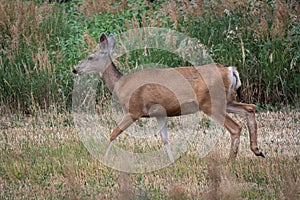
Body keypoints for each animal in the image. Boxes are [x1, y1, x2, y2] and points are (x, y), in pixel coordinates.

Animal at [72, 32, 264, 161]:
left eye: (90, 57)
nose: (75, 69)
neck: (120, 85)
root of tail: (230, 70)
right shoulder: (159, 113)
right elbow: (165, 139)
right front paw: (172, 161)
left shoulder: (134, 110)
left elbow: (114, 132)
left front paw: (103, 158)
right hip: (227, 100)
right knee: (250, 108)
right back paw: (257, 150)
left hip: (211, 104)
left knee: (235, 127)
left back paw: (231, 160)